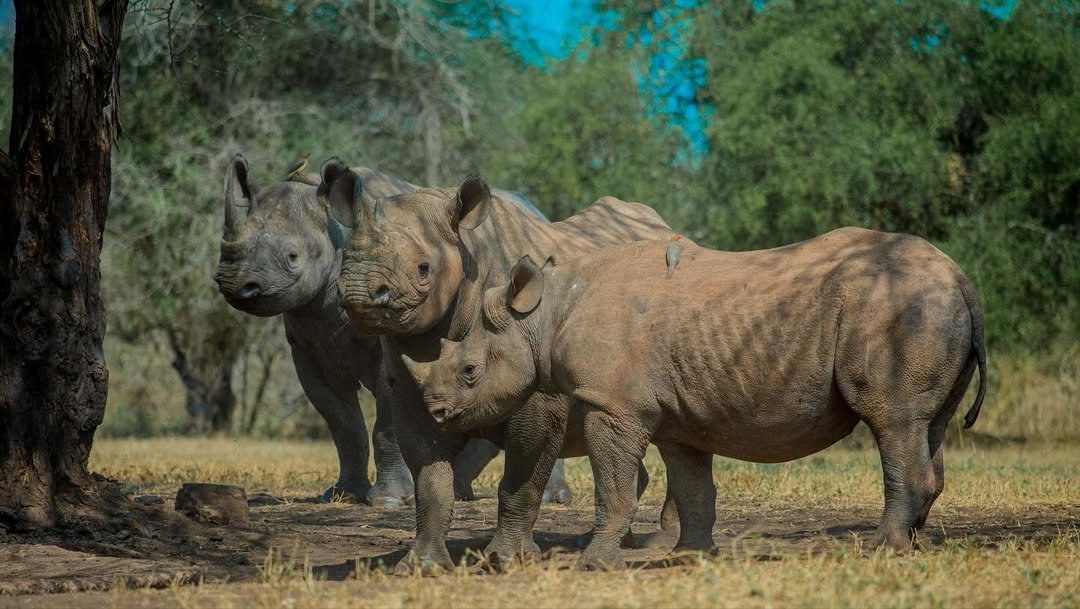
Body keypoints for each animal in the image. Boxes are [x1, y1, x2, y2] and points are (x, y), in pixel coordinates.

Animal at [212, 154, 564, 504]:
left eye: (292, 256)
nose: (234, 283)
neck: (333, 230)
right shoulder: (306, 343)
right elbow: (342, 423)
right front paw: (343, 495)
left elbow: (386, 425)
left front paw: (389, 500)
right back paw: (459, 490)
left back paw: (549, 497)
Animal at [328, 169, 676, 572]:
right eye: (343, 257)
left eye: (423, 268)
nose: (357, 295)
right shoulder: (413, 392)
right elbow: (430, 482)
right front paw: (422, 566)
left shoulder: (537, 396)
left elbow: (521, 480)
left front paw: (508, 559)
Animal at [403, 229, 988, 569]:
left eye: (470, 372)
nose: (435, 412)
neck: (541, 317)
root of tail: (960, 275)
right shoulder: (678, 421)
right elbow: (693, 487)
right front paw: (692, 557)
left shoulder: (611, 405)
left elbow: (614, 487)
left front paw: (595, 564)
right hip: (928, 305)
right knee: (928, 427)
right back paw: (913, 544)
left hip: (898, 307)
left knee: (894, 421)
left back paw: (881, 550)